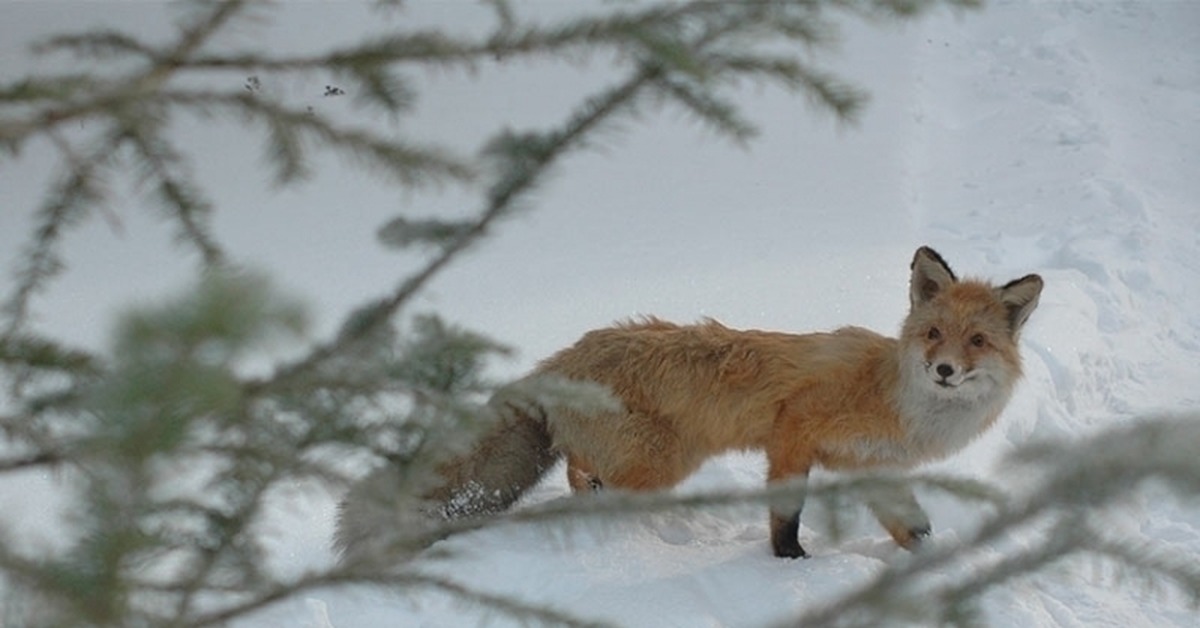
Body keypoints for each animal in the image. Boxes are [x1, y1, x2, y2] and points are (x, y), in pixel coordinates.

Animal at [336, 246, 1041, 559]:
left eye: (977, 341)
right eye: (934, 333)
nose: (944, 370)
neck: (893, 396)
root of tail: (560, 359)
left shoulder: (875, 468)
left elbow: (914, 528)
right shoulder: (794, 429)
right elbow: (786, 512)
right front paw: (788, 563)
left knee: (576, 465)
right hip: (660, 463)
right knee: (580, 468)